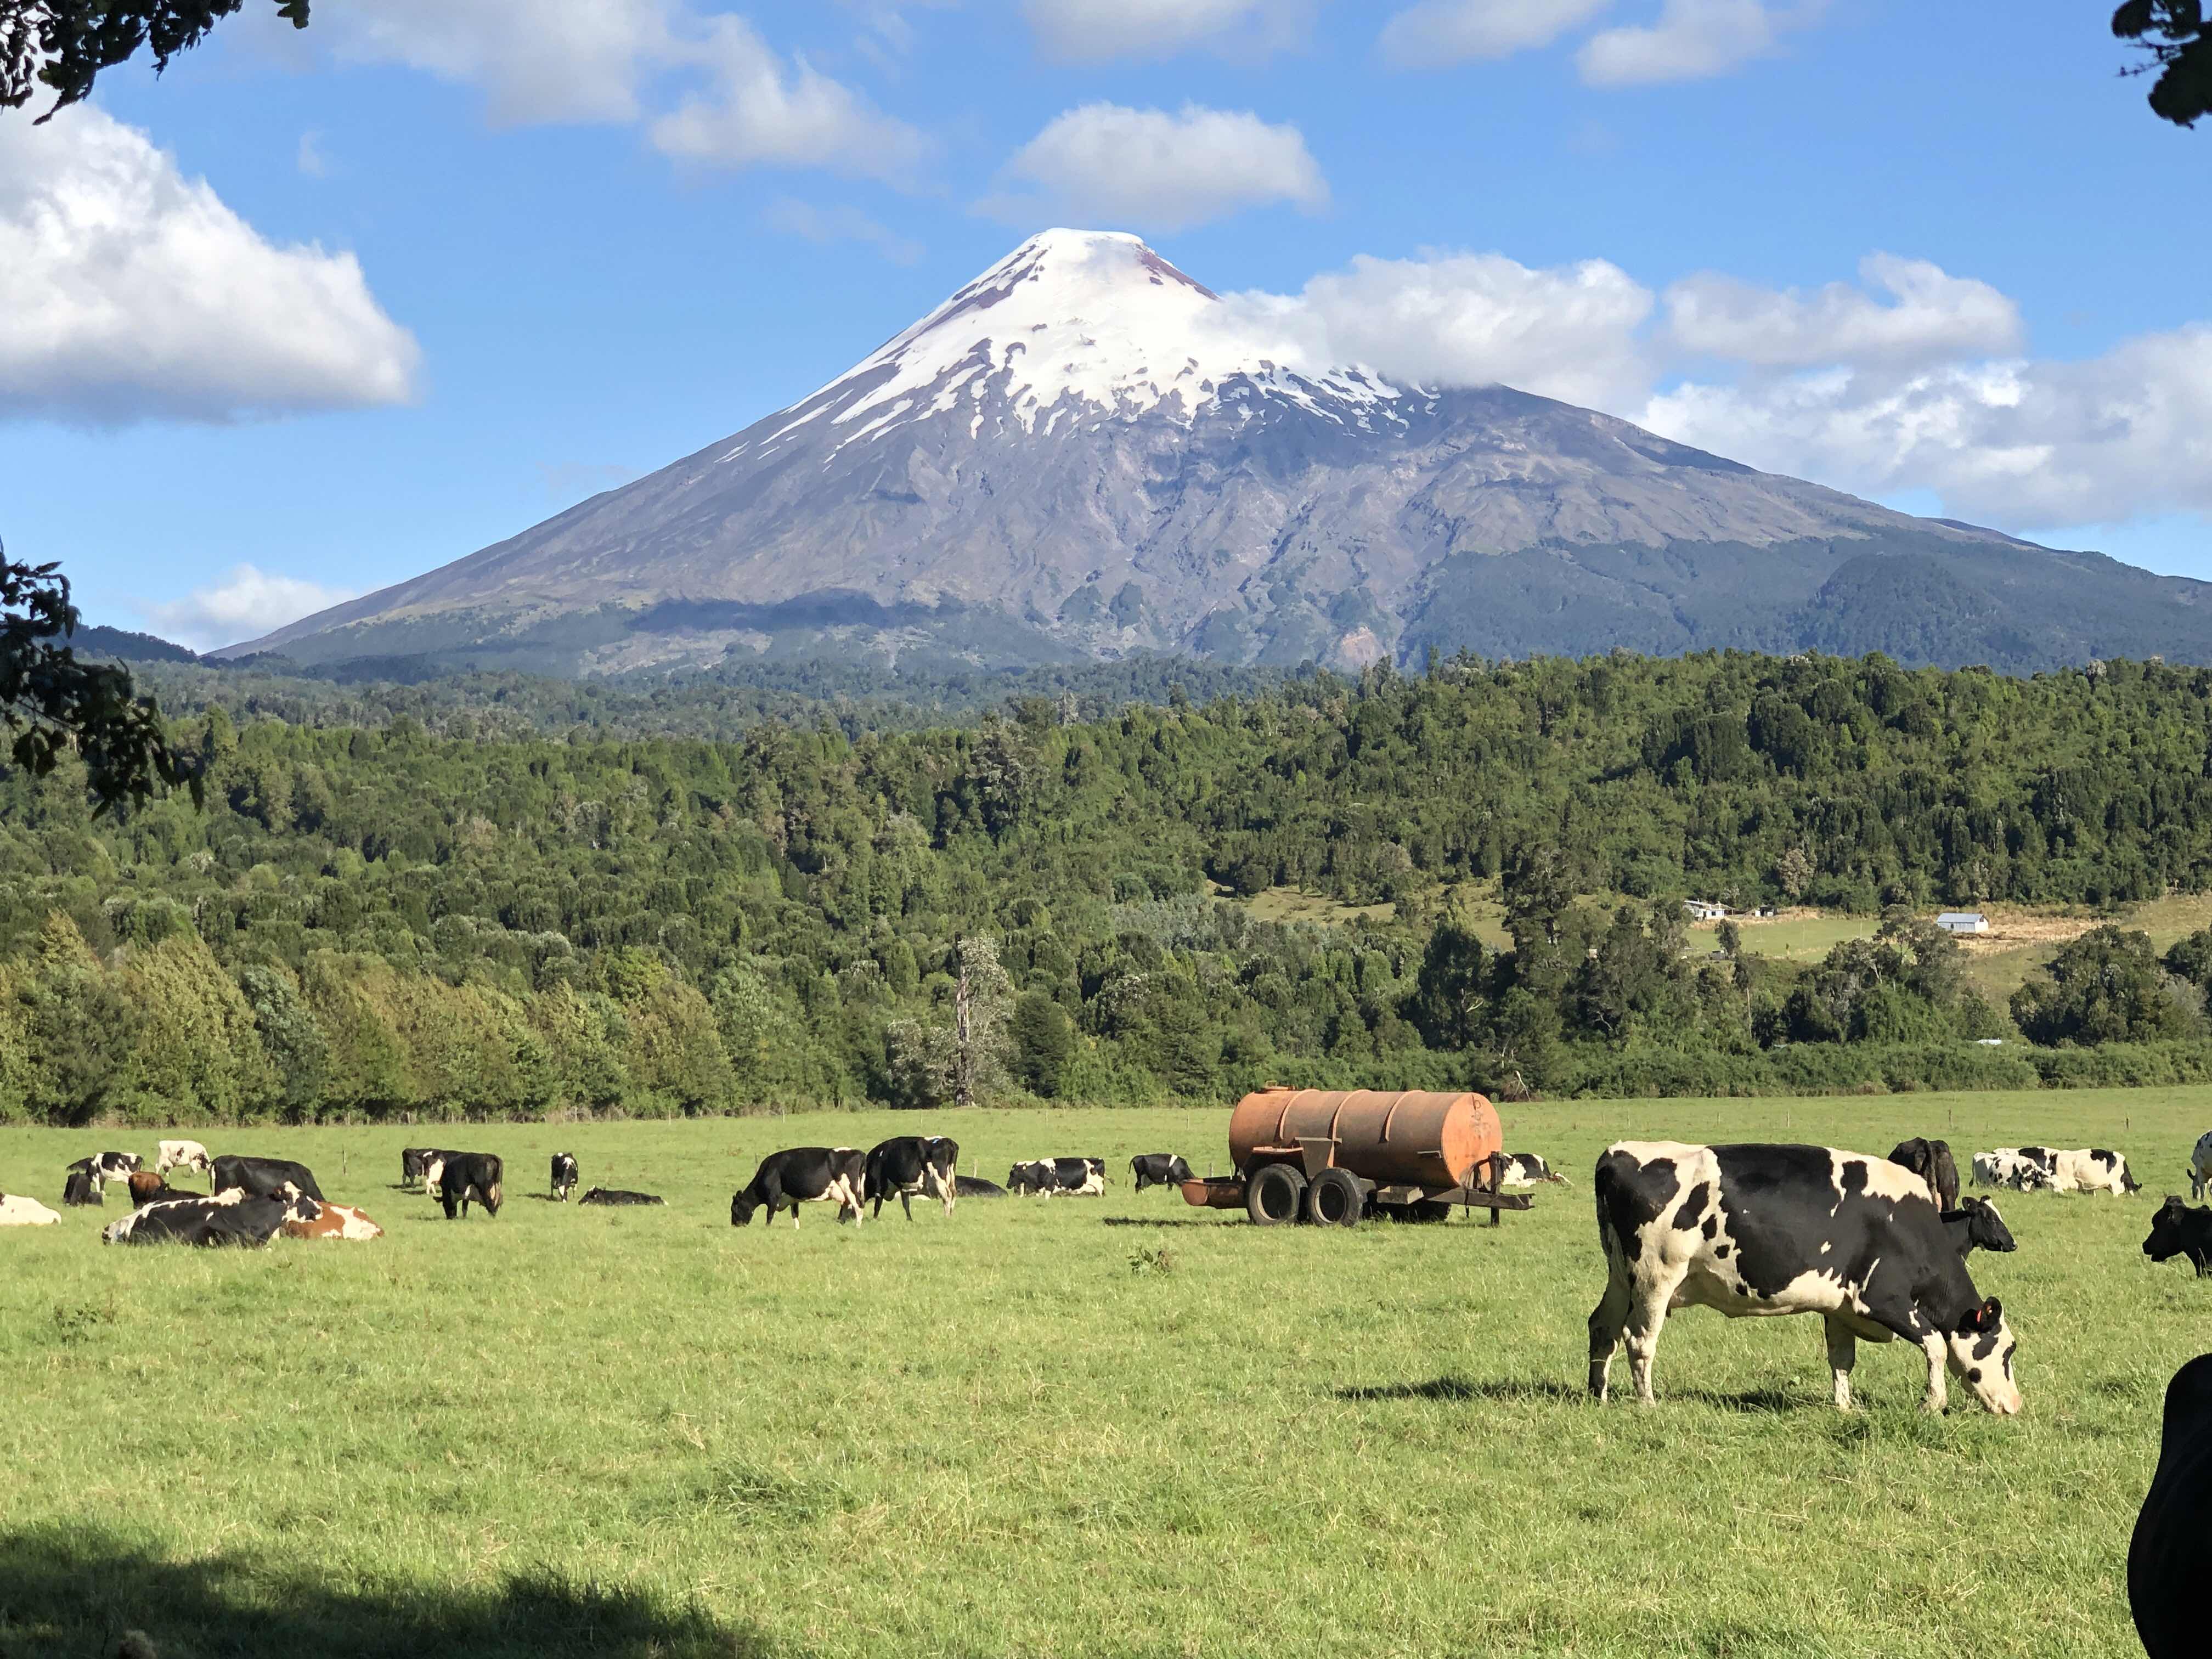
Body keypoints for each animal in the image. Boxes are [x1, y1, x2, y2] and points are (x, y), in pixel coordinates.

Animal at [731, 1148, 865, 1228]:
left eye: (734, 1209)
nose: (734, 1225)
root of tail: (859, 1153)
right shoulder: (793, 1199)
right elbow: (795, 1215)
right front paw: (797, 1229)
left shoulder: (773, 1197)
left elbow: (769, 1216)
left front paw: (767, 1229)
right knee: (847, 1209)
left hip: (850, 1188)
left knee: (858, 1207)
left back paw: (858, 1227)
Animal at [864, 1136, 959, 1220]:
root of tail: (947, 1140)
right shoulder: (904, 1187)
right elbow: (906, 1204)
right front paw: (909, 1219)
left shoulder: (880, 1188)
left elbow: (877, 1206)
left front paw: (874, 1219)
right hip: (951, 1178)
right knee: (954, 1193)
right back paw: (951, 1215)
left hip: (939, 1178)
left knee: (947, 1196)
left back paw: (946, 1217)